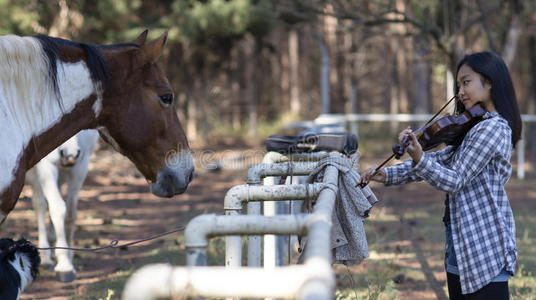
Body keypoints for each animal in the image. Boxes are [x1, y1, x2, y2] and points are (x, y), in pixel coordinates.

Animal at [27, 129, 99, 282]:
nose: (69, 155)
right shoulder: (46, 165)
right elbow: (57, 207)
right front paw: (64, 266)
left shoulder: (81, 165)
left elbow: (71, 212)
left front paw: (69, 256)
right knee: (40, 203)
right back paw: (45, 257)